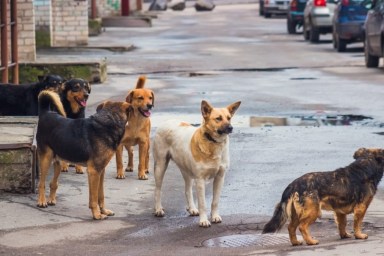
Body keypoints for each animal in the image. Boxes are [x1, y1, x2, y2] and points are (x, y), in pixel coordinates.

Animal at [36, 90, 132, 220]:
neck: (109, 121)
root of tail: (46, 113)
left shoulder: (101, 171)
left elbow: (100, 195)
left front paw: (104, 211)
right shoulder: (94, 171)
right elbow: (94, 198)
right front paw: (97, 214)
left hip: (58, 161)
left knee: (53, 183)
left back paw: (51, 199)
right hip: (46, 159)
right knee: (41, 183)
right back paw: (42, 201)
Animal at [152, 99, 240, 227]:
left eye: (229, 118)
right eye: (218, 118)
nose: (231, 127)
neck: (212, 142)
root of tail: (167, 121)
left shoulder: (220, 177)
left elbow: (215, 201)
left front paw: (215, 216)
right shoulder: (200, 180)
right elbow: (203, 204)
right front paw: (203, 220)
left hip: (186, 170)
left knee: (187, 190)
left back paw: (192, 208)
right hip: (160, 165)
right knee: (158, 190)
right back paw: (158, 209)